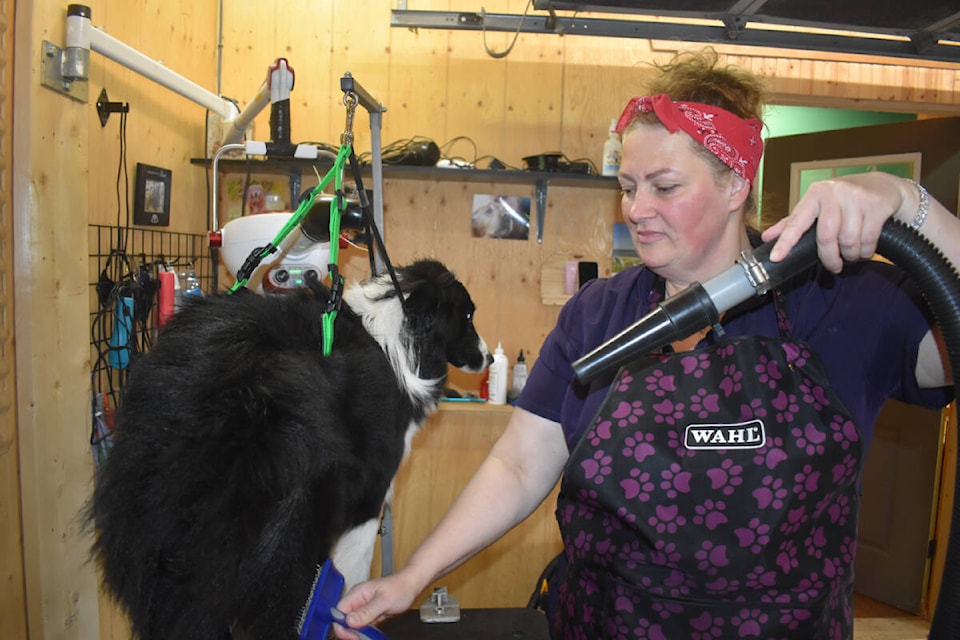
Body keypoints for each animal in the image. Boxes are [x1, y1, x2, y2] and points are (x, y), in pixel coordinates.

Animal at [85, 260, 492, 640]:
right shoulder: (368, 497)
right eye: (468, 315)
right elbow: (354, 574)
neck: (397, 329)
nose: (488, 358)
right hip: (291, 530)